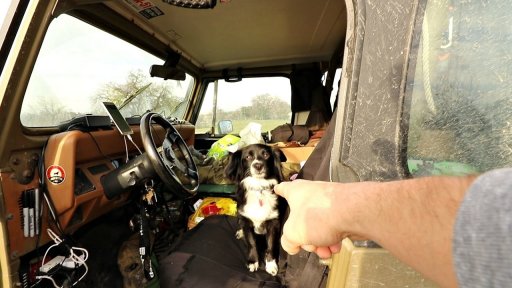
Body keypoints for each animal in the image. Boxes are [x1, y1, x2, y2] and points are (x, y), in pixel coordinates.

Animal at [226, 144, 286, 276]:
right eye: (248, 157)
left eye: (266, 154)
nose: (258, 165)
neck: (259, 187)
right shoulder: (246, 220)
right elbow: (251, 242)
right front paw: (253, 262)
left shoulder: (273, 223)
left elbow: (270, 245)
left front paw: (271, 264)